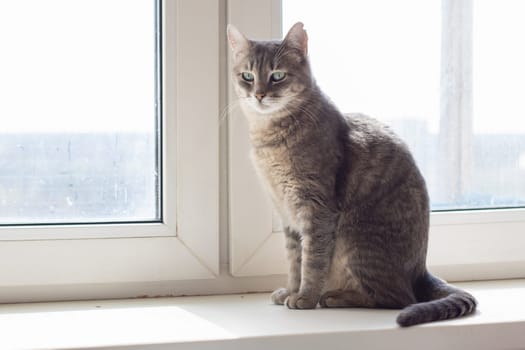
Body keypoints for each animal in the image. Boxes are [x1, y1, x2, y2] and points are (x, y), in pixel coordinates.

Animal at [225, 22, 474, 328]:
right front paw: (291, 290)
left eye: (277, 76)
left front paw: (305, 297)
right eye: (247, 76)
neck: (269, 138)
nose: (259, 94)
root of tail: (421, 272)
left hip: (356, 238)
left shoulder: (317, 209)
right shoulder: (288, 216)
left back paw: (335, 297)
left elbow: (313, 260)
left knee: (397, 298)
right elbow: (295, 261)